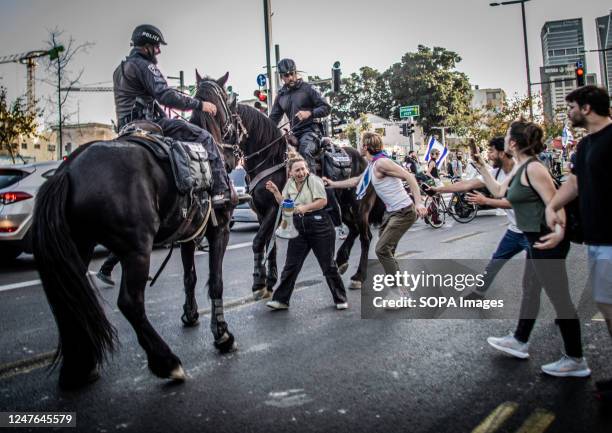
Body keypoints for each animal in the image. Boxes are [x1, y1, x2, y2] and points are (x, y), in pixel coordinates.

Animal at [32, 74, 239, 388]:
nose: (237, 146)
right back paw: (167, 362)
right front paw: (223, 334)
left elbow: (189, 277)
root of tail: (67, 171)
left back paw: (79, 367)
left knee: (68, 300)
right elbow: (215, 281)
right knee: (130, 302)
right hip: (137, 248)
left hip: (79, 246)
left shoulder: (189, 236)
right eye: (229, 103)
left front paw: (190, 315)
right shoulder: (220, 229)